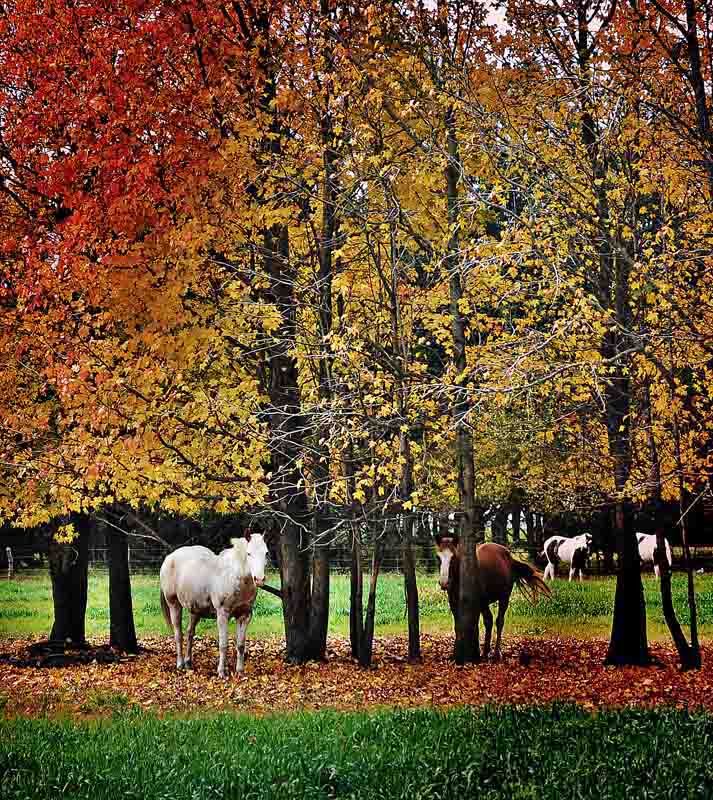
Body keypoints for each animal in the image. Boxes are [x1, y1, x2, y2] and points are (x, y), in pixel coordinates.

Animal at [160, 536, 268, 680]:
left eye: (266, 553)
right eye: (249, 553)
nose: (259, 579)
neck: (234, 576)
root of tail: (169, 557)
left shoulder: (245, 615)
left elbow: (240, 644)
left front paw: (240, 671)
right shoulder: (222, 614)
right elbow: (223, 644)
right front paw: (221, 672)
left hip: (195, 610)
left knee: (189, 633)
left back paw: (188, 663)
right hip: (174, 604)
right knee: (178, 634)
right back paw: (180, 664)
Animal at [434, 536, 552, 664]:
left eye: (453, 557)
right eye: (438, 557)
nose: (444, 583)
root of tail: (509, 557)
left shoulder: (479, 602)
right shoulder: (454, 602)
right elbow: (458, 625)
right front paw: (456, 653)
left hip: (503, 597)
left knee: (497, 621)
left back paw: (495, 653)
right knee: (490, 621)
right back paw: (486, 652)